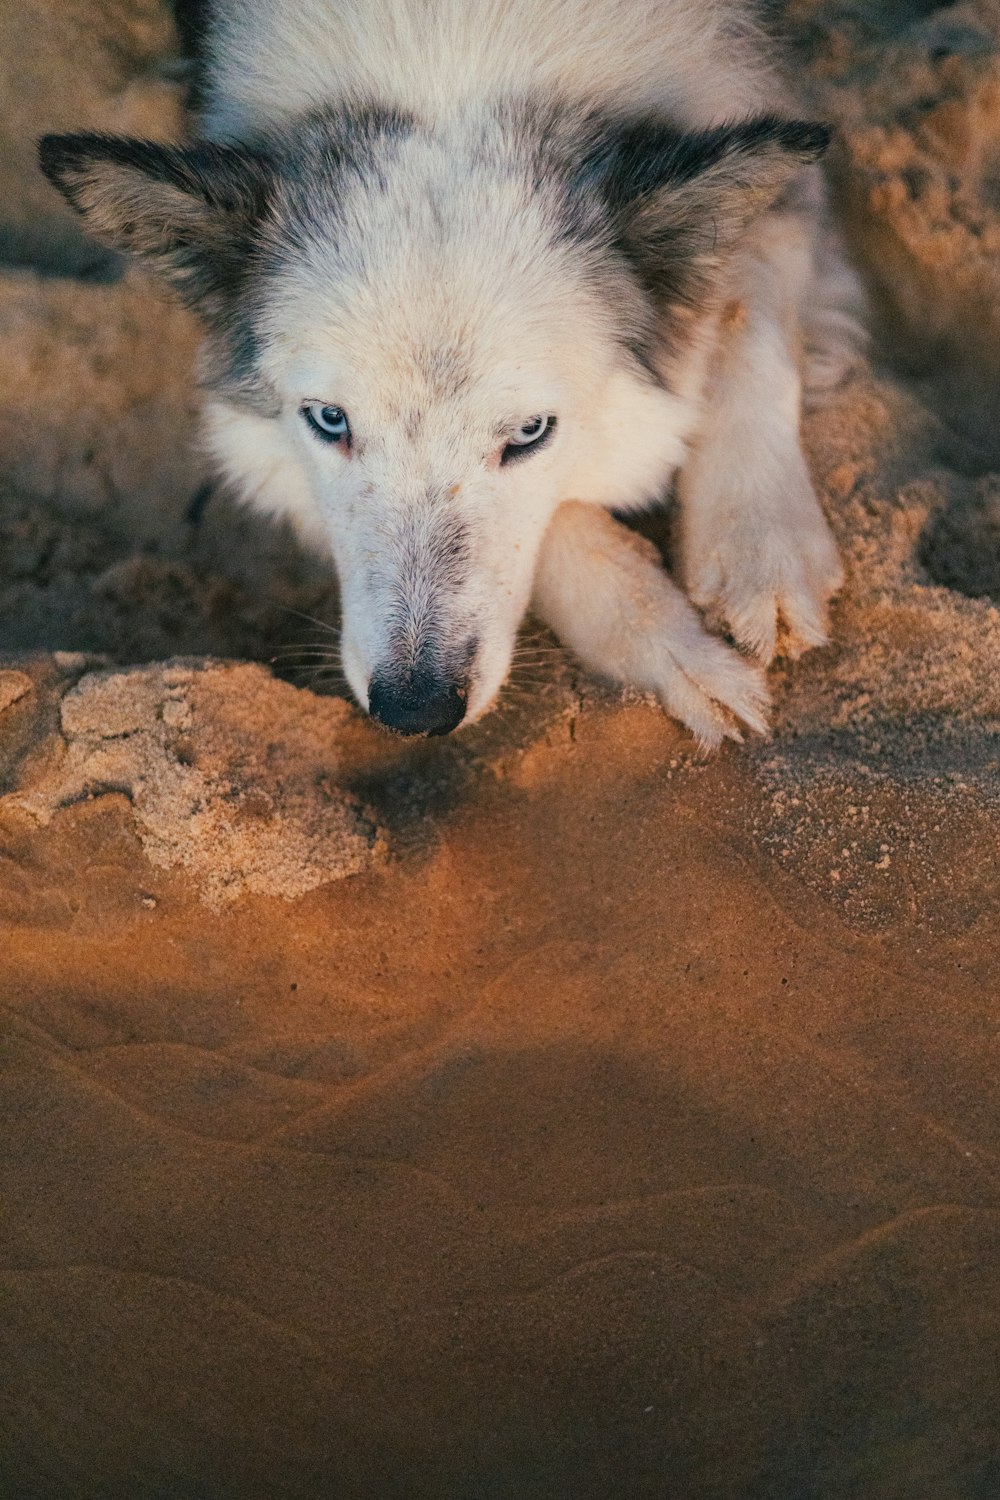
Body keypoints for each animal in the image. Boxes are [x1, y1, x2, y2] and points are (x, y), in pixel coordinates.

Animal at [41, 0, 863, 750]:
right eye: (329, 421)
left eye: (529, 432)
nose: (415, 710)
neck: (454, 49)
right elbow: (563, 531)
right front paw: (673, 649)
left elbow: (746, 309)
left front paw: (761, 551)